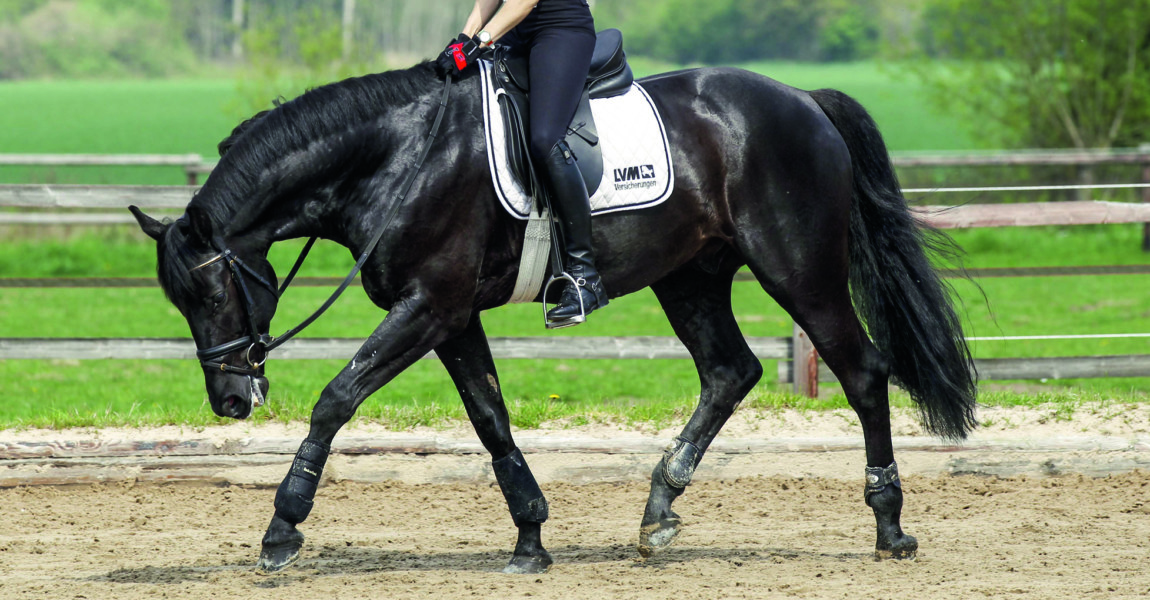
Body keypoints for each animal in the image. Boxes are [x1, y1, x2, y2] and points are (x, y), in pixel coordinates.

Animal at [134, 59, 979, 570]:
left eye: (210, 293)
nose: (230, 400)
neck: (395, 159)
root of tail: (805, 101)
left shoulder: (428, 306)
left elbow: (337, 398)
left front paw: (282, 527)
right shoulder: (450, 316)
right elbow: (490, 419)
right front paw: (531, 535)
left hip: (799, 271)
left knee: (863, 374)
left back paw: (890, 525)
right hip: (692, 276)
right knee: (729, 371)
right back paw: (658, 509)